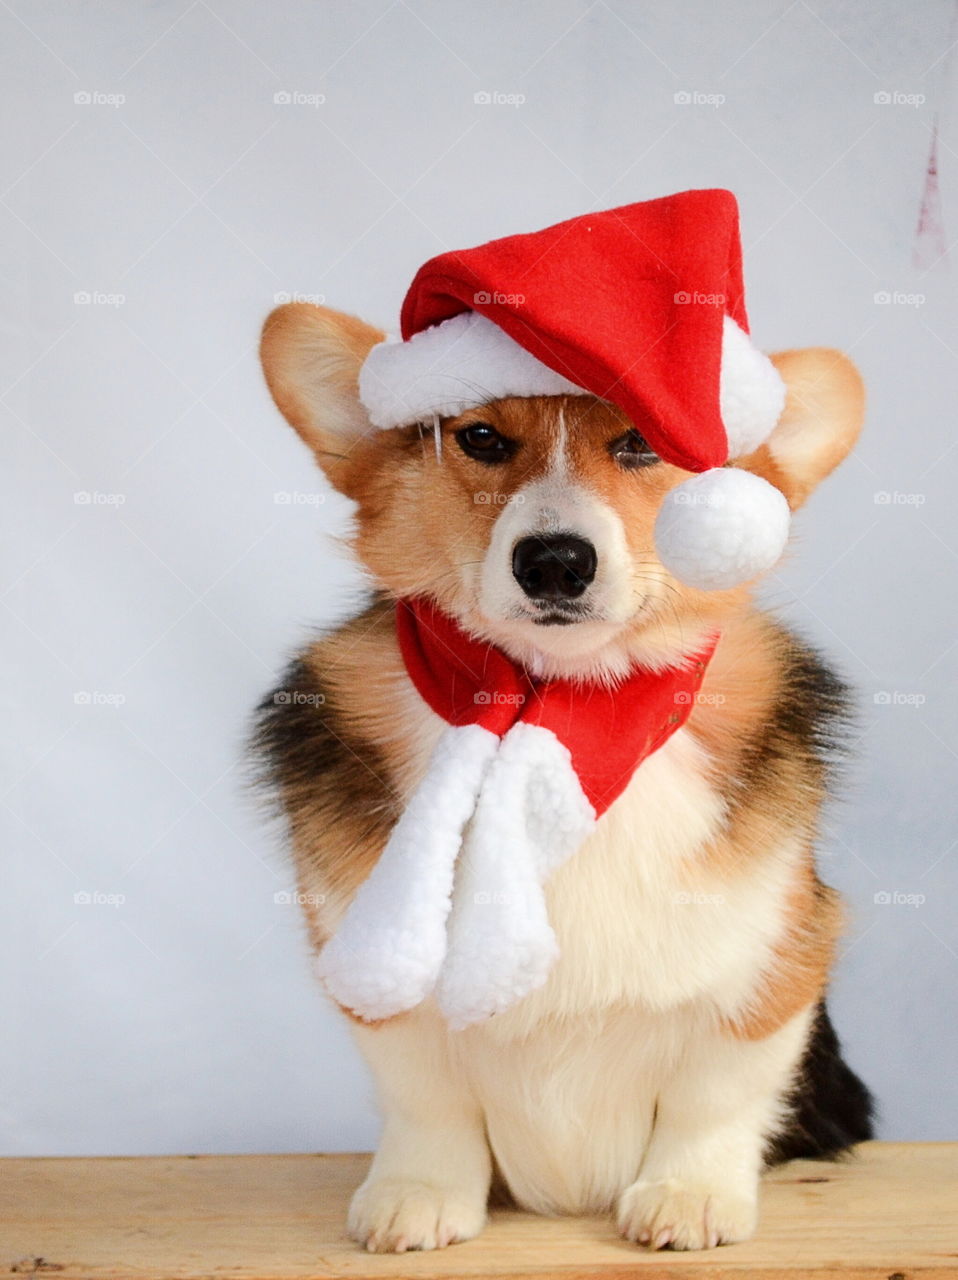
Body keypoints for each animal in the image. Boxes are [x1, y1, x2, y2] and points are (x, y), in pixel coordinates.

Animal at [252, 299, 876, 1249]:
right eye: (479, 437)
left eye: (641, 443)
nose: (554, 561)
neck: (567, 697)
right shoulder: (375, 980)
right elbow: (426, 1099)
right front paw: (418, 1195)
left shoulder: (776, 960)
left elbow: (714, 1096)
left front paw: (689, 1195)